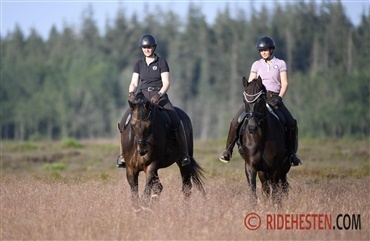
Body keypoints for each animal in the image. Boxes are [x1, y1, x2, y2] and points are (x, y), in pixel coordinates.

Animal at [238, 76, 290, 206]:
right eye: (244, 100)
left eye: (260, 100)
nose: (252, 127)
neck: (261, 138)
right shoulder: (251, 166)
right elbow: (253, 191)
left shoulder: (275, 168)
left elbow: (276, 194)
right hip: (263, 171)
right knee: (266, 188)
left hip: (283, 167)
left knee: (283, 187)